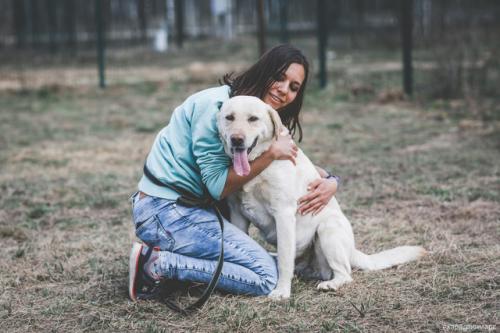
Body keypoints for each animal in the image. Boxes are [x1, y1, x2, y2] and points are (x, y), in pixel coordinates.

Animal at [216, 95, 426, 298]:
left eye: (253, 118)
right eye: (229, 117)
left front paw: (282, 291)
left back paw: (331, 284)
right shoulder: (238, 214)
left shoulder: (283, 213)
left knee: (343, 273)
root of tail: (352, 250)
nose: (237, 139)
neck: (259, 164)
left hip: (327, 229)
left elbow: (284, 260)